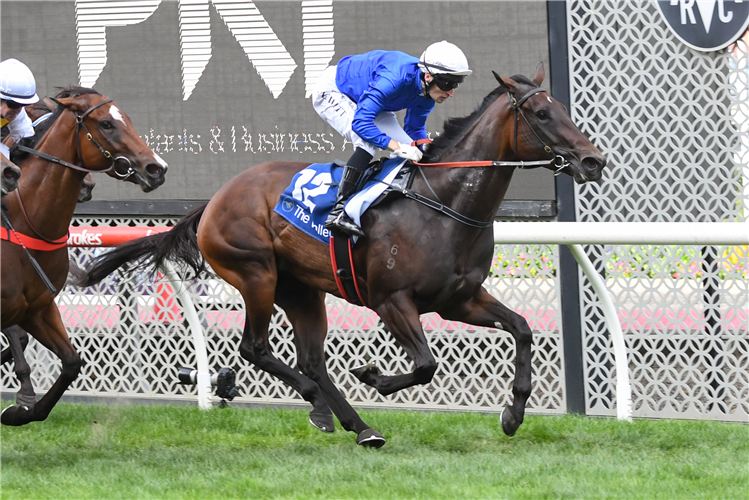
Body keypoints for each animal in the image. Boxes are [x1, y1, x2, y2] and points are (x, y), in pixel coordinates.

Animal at [0, 87, 167, 426]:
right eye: (106, 124)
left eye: (127, 119)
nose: (156, 168)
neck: (27, 221)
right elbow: (19, 340)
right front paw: (23, 392)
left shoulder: (38, 307)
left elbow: (71, 362)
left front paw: (21, 411)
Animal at [76, 65, 604, 446]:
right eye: (542, 115)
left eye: (561, 109)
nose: (593, 160)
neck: (444, 205)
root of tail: (215, 199)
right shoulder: (392, 301)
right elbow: (426, 365)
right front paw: (373, 375)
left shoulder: (459, 299)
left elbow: (522, 327)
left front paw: (513, 413)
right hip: (257, 274)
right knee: (256, 348)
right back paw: (328, 408)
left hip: (302, 291)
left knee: (312, 361)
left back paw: (355, 424)